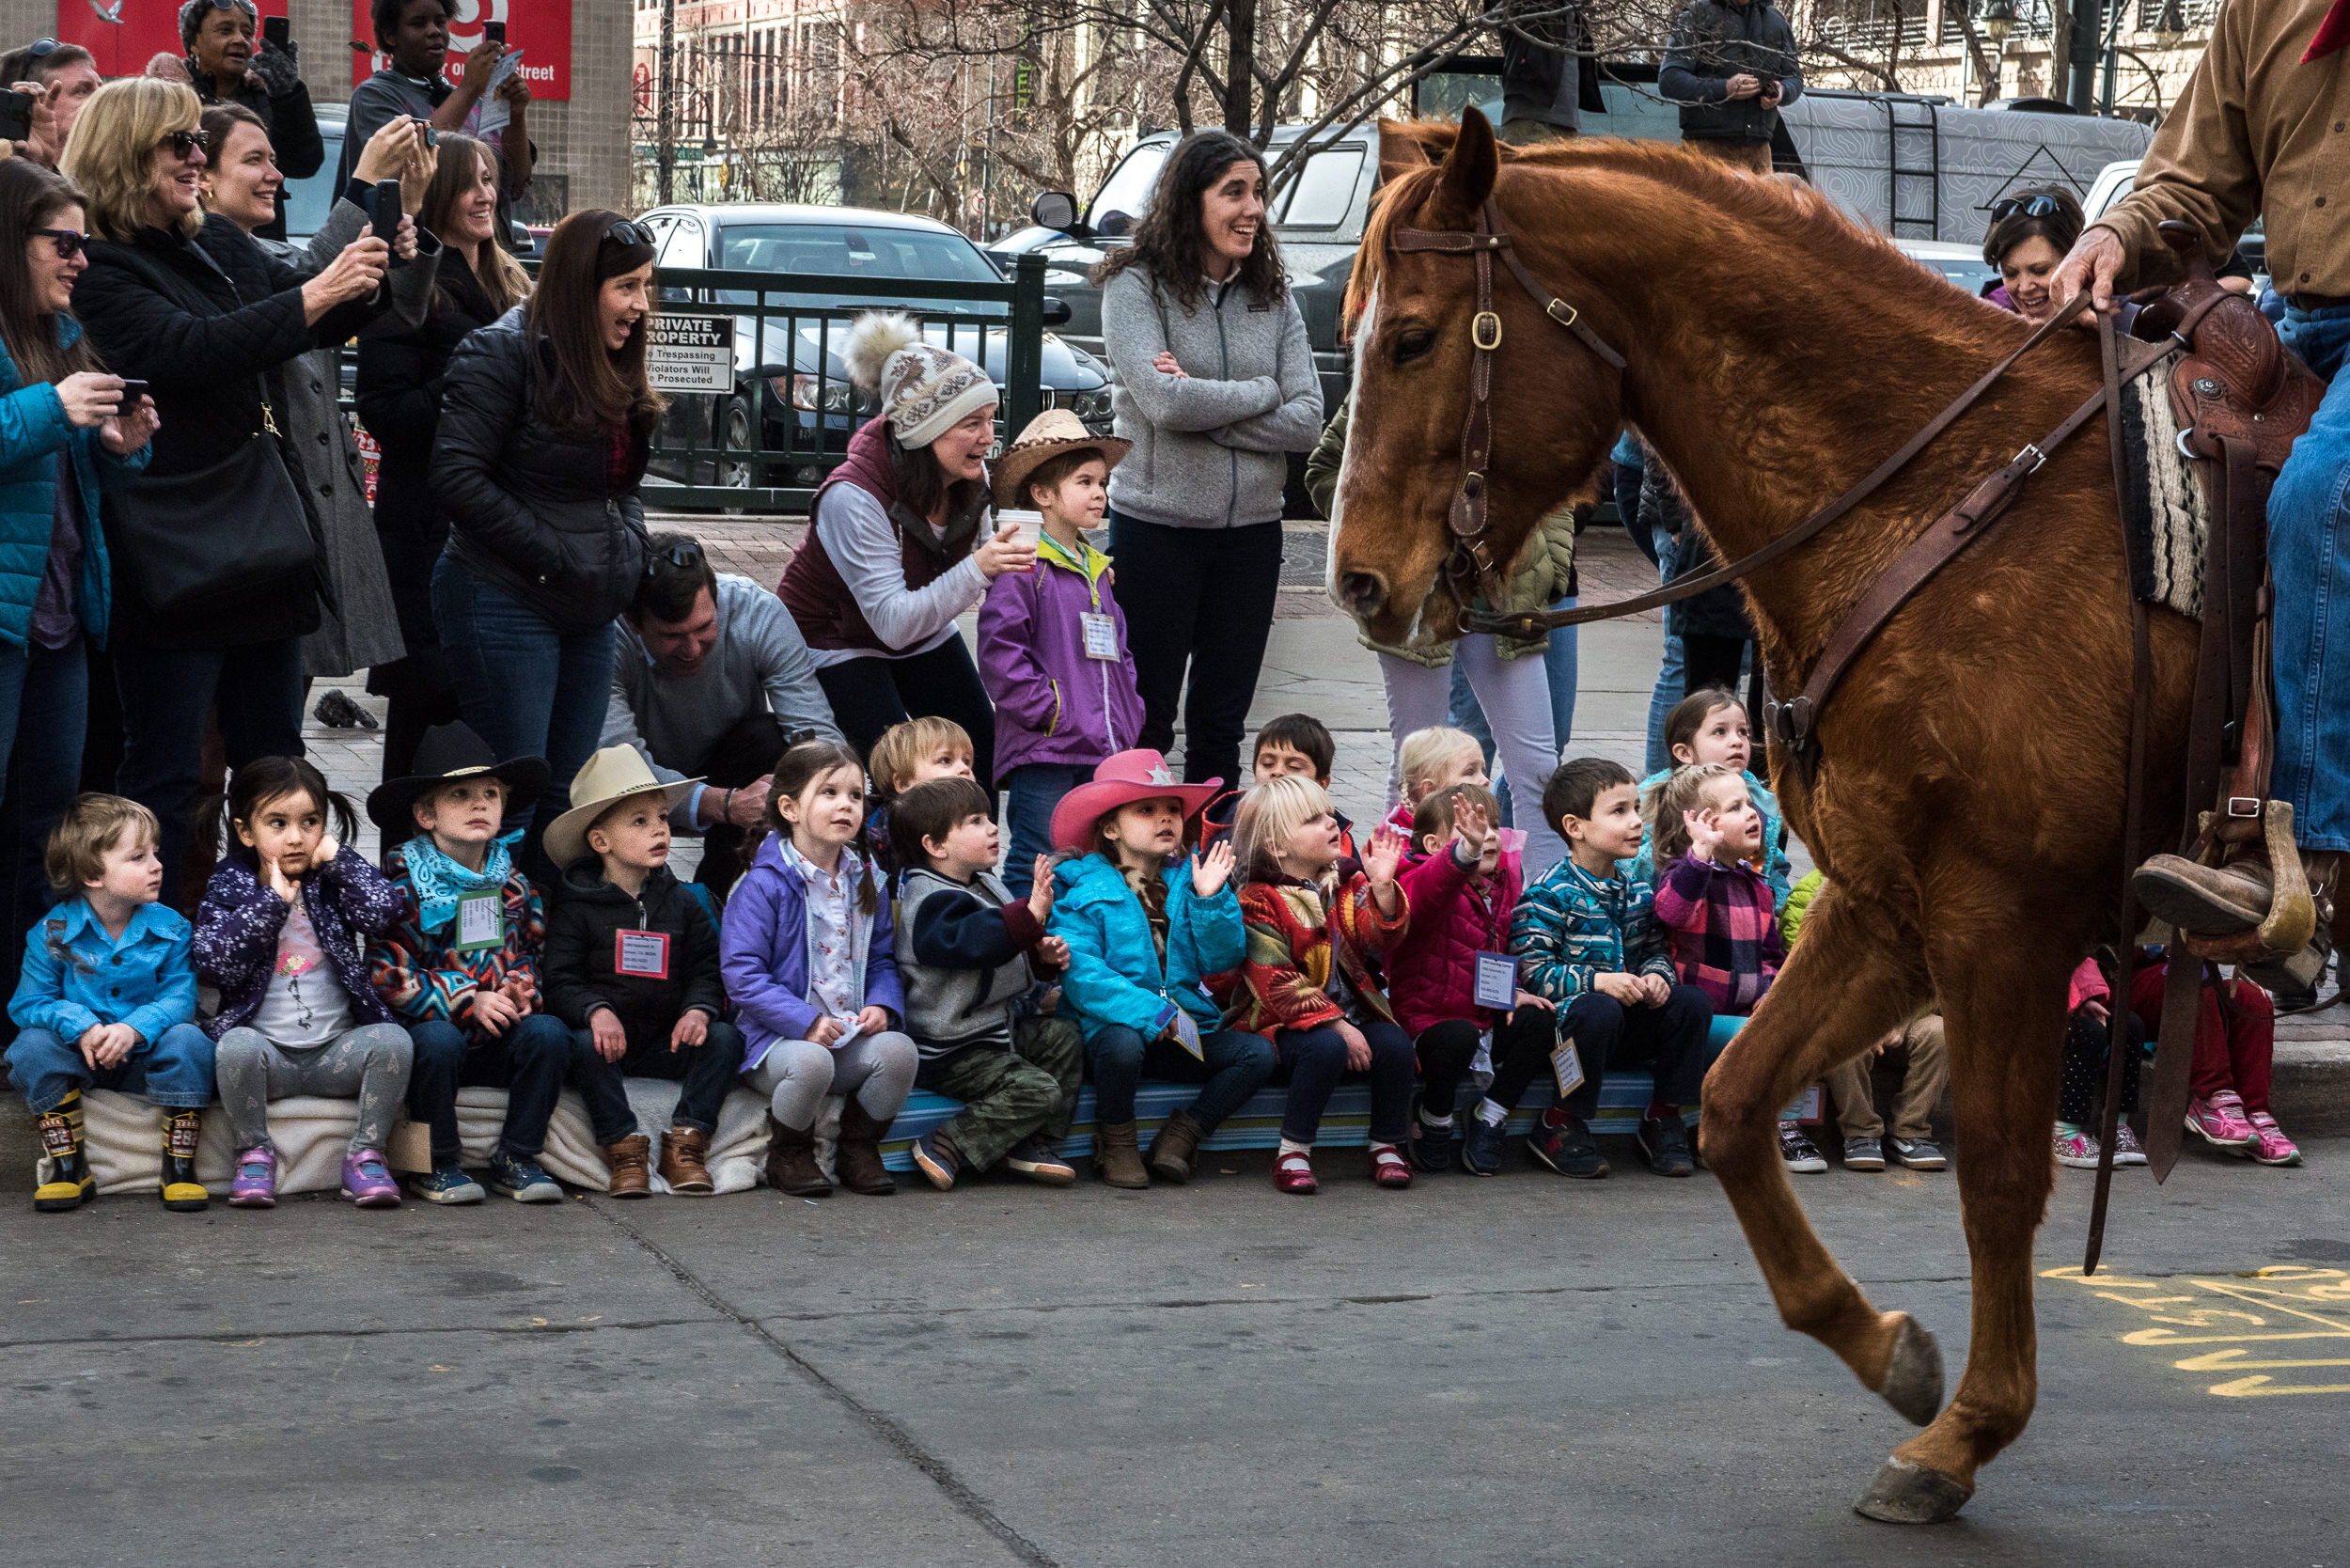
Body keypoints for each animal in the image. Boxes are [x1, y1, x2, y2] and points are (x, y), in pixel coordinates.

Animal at [1344, 113, 2200, 1523]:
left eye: (1413, 337)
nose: (1355, 578)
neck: (1943, 507)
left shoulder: (1997, 920)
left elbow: (1997, 1174)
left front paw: (1967, 1428)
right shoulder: (1892, 910)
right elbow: (1734, 1102)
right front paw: (1892, 1355)